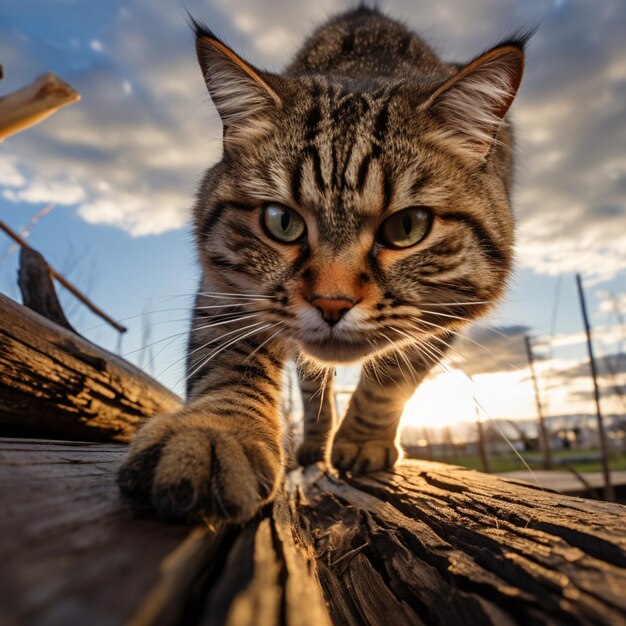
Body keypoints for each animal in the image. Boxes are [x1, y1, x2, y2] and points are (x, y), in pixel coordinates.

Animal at [118, 7, 528, 520]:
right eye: (281, 221)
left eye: (408, 226)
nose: (332, 303)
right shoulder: (228, 287)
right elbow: (229, 364)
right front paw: (214, 433)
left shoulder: (442, 313)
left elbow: (391, 379)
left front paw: (362, 442)